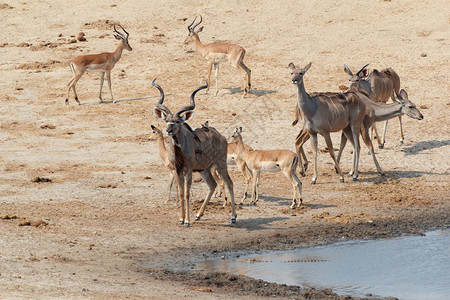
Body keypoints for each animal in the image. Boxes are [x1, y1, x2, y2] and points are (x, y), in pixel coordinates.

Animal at [152, 78, 237, 226]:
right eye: (167, 120)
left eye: (177, 121)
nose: (169, 130)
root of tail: (222, 137)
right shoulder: (177, 170)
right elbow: (181, 192)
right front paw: (181, 219)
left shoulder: (189, 170)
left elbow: (187, 193)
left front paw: (187, 221)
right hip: (205, 169)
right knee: (212, 185)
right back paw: (198, 215)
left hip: (220, 165)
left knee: (229, 183)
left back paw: (233, 217)